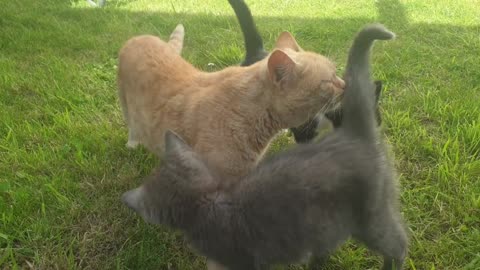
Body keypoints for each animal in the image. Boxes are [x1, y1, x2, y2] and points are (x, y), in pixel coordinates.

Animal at [118, 24, 346, 186]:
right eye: (329, 81)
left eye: (337, 73)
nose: (345, 85)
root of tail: (142, 37)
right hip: (124, 102)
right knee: (131, 124)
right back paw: (132, 144)